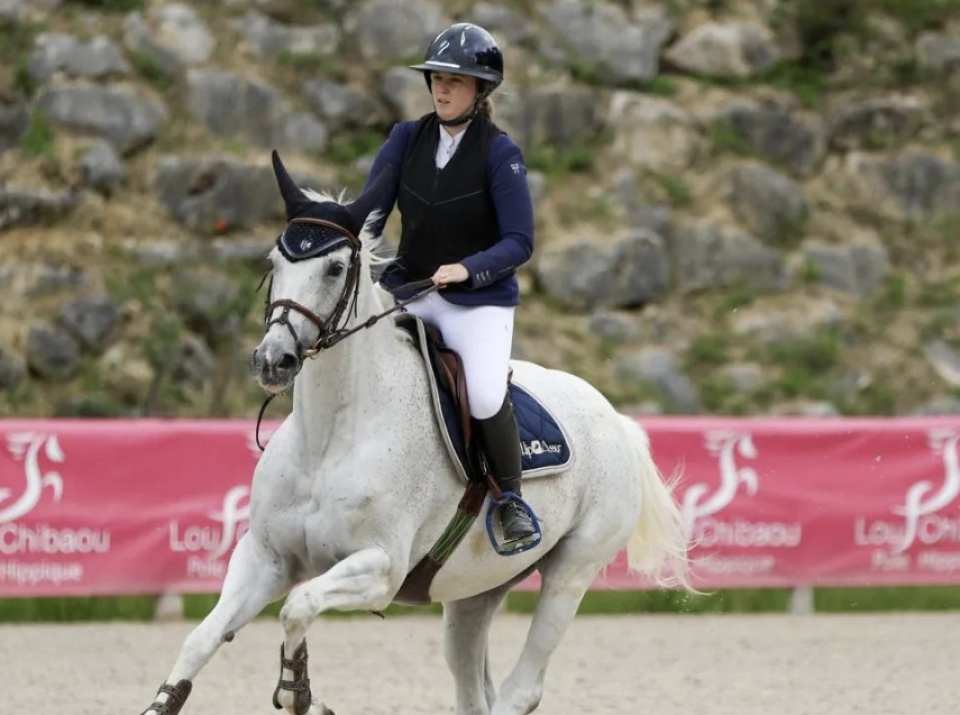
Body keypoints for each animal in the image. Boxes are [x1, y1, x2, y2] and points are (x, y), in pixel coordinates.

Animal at [139, 154, 688, 715]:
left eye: (335, 269)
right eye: (274, 262)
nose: (274, 360)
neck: (328, 439)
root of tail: (617, 421)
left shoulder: (380, 568)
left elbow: (297, 606)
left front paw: (302, 694)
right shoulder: (266, 558)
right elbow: (202, 638)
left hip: (571, 571)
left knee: (521, 688)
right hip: (474, 592)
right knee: (474, 687)